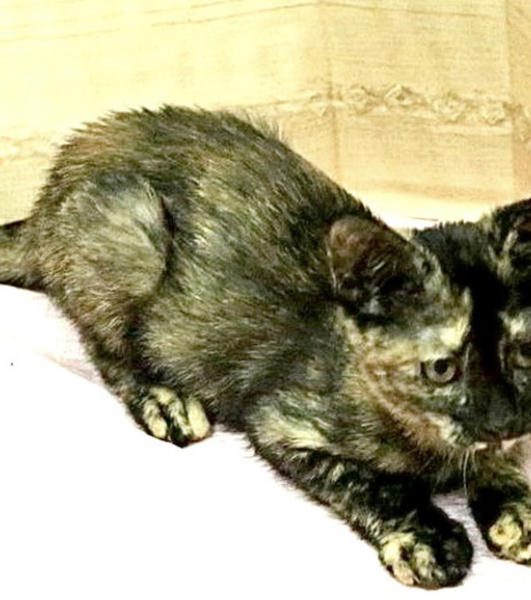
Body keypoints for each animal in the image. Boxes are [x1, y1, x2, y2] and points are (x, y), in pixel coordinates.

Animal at [0, 105, 526, 588]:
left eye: (521, 353)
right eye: (441, 368)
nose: (505, 421)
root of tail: (45, 199)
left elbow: (501, 461)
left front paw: (515, 507)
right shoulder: (281, 422)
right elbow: (373, 484)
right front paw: (426, 538)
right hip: (129, 232)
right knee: (110, 349)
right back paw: (167, 399)